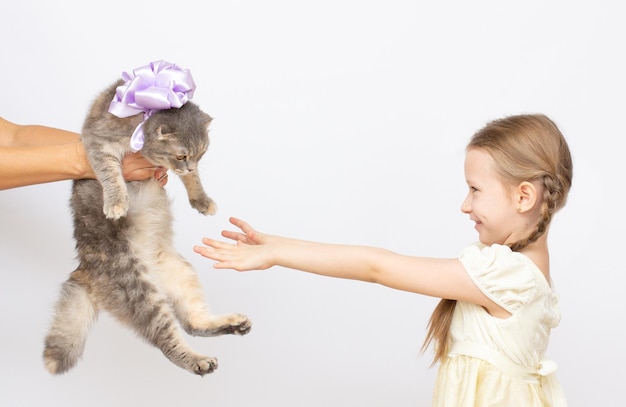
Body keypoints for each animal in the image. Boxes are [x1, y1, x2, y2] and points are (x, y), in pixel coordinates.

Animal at [43, 78, 251, 378]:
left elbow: (194, 182)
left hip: (181, 273)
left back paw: (232, 324)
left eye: (201, 154)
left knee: (193, 323)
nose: (190, 166)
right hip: (139, 292)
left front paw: (201, 199)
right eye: (181, 155)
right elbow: (111, 174)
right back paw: (197, 361)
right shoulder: (99, 143)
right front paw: (116, 202)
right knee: (167, 340)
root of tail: (84, 268)